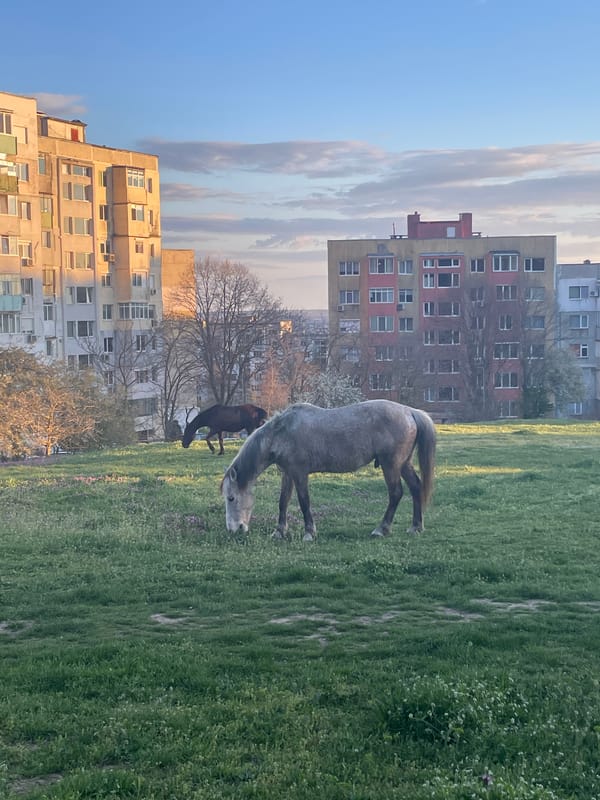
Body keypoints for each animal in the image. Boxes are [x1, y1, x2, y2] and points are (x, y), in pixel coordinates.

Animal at [221, 399, 436, 541]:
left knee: (396, 493)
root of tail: (410, 411)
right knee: (416, 487)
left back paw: (381, 529)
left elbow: (304, 502)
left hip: (390, 465)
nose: (234, 529)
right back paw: (416, 527)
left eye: (231, 498)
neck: (282, 433)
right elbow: (283, 502)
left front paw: (309, 533)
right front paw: (279, 531)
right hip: (403, 464)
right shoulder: (288, 474)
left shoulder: (300, 474)